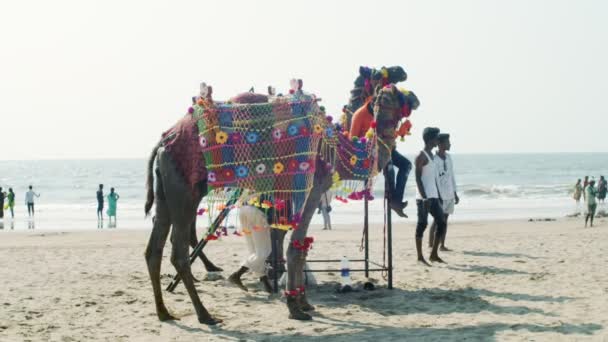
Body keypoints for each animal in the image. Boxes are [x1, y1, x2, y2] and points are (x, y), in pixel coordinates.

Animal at [143, 66, 418, 324]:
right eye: (394, 89)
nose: (414, 96)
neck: (338, 149)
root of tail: (164, 141)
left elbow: (298, 245)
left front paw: (304, 302)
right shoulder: (312, 188)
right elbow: (294, 247)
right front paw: (296, 308)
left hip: (166, 189)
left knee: (153, 249)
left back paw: (164, 312)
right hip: (184, 190)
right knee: (179, 252)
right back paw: (205, 315)